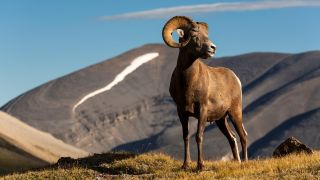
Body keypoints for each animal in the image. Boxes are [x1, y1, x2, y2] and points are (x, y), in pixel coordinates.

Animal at [162, 16, 248, 170]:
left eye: (206, 35)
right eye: (194, 36)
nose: (213, 48)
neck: (188, 83)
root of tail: (235, 78)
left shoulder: (202, 110)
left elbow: (199, 136)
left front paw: (200, 166)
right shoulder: (181, 112)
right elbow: (185, 136)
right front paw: (186, 165)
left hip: (235, 112)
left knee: (243, 135)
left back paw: (244, 162)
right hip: (221, 120)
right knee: (232, 137)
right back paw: (237, 162)